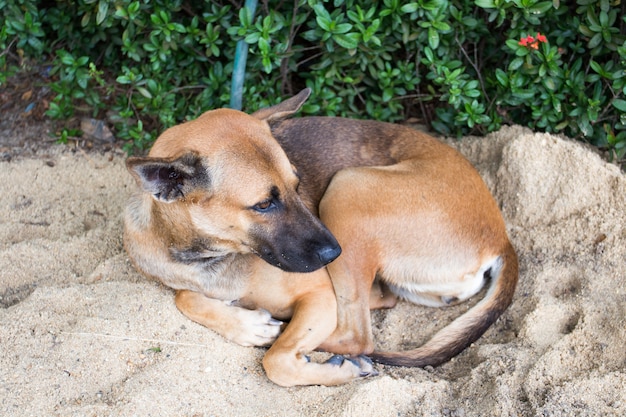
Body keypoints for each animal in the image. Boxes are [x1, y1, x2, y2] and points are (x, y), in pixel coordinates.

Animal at [123, 88, 516, 386]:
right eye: (263, 204)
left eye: (297, 185)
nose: (333, 254)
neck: (205, 254)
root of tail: (502, 238)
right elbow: (184, 297)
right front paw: (244, 324)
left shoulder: (319, 293)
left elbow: (277, 361)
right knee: (377, 305)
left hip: (347, 189)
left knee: (357, 337)